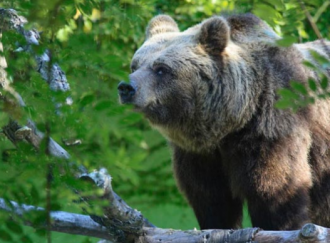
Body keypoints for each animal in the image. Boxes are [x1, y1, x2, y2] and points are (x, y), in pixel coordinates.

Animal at [118, 12, 330, 230]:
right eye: (135, 65)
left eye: (161, 69)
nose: (126, 87)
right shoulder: (200, 154)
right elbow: (211, 197)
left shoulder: (273, 126)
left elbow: (276, 188)